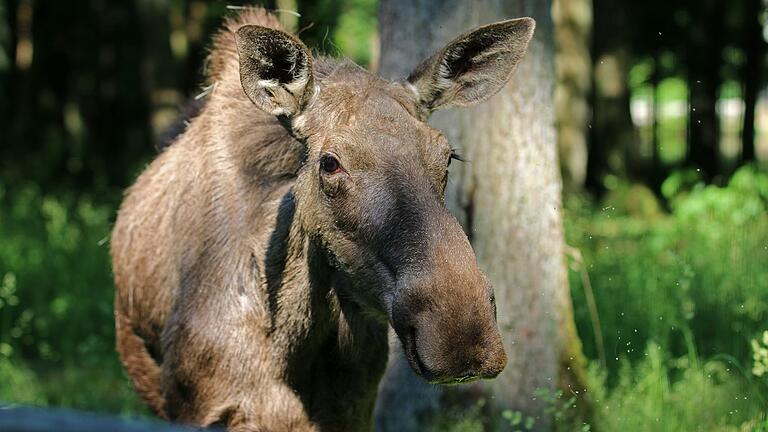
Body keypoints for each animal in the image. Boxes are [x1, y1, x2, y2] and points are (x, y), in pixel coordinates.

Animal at [112, 6, 536, 432]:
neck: (289, 348)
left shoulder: (353, 411)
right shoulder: (196, 406)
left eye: (448, 156)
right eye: (330, 163)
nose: (461, 334)